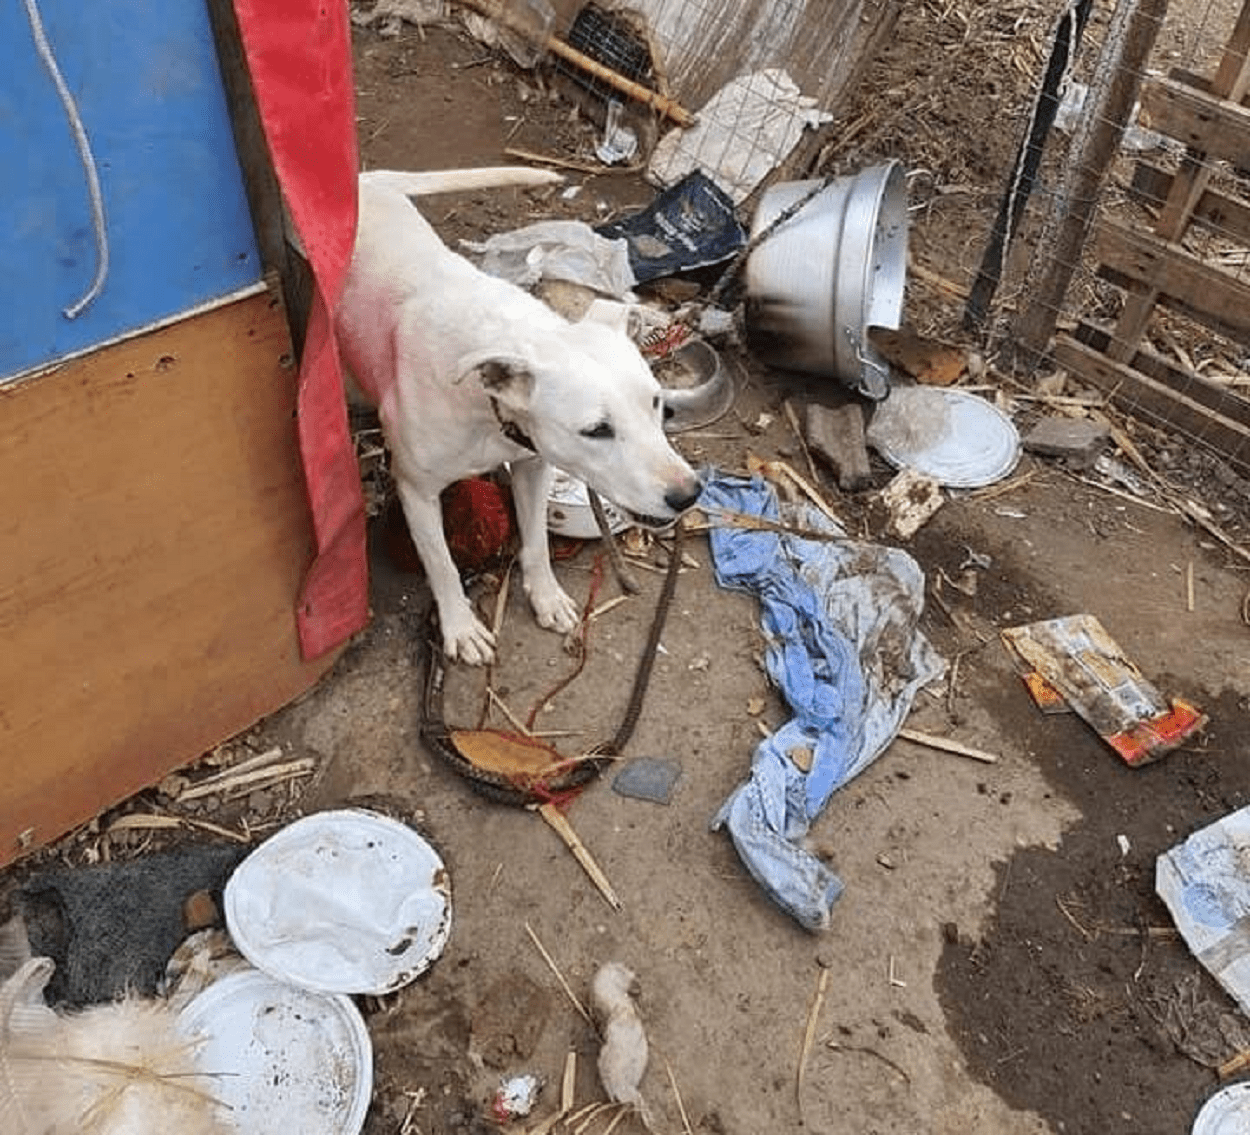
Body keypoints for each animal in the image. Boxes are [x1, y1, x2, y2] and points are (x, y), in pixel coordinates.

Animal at [332, 171, 705, 665]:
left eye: (656, 403)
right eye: (596, 430)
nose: (688, 494)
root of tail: (369, 179)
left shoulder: (533, 465)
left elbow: (537, 543)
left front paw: (546, 597)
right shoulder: (416, 490)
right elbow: (442, 564)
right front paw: (460, 627)